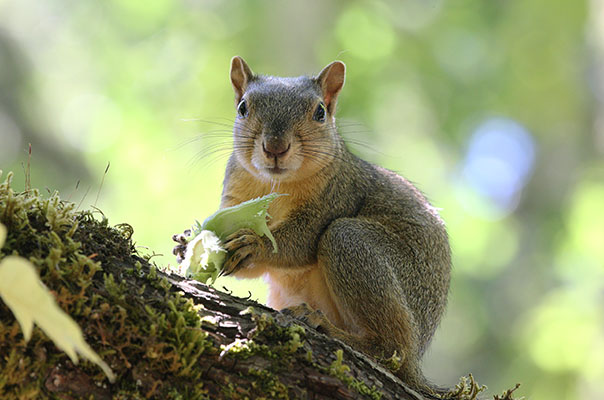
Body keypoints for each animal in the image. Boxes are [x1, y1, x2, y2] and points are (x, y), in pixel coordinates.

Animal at [184, 56, 452, 396]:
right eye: (242, 108)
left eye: (320, 113)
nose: (275, 147)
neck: (275, 183)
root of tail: (418, 362)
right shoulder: (235, 196)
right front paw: (189, 241)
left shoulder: (337, 195)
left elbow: (299, 243)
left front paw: (255, 244)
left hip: (350, 243)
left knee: (392, 351)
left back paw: (329, 327)